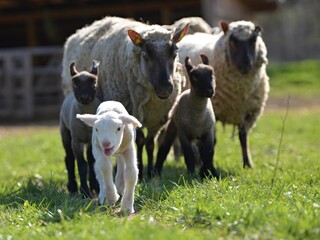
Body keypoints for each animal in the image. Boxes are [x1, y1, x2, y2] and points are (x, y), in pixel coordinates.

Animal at [59, 60, 100, 197]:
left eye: (93, 81)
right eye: (75, 83)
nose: (85, 97)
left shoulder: (93, 139)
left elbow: (92, 162)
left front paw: (95, 186)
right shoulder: (77, 140)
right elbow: (82, 164)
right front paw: (84, 191)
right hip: (65, 133)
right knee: (69, 159)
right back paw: (72, 187)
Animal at [61, 15, 189, 179]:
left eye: (175, 53)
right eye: (145, 55)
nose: (165, 89)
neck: (153, 99)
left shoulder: (158, 120)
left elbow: (150, 144)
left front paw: (151, 173)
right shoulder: (134, 112)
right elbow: (139, 141)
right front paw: (140, 171)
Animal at [178, 20, 270, 169]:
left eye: (253, 40)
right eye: (232, 41)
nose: (246, 64)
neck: (239, 90)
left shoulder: (247, 112)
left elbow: (243, 138)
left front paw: (248, 164)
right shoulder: (213, 111)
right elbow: (212, 142)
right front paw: (206, 164)